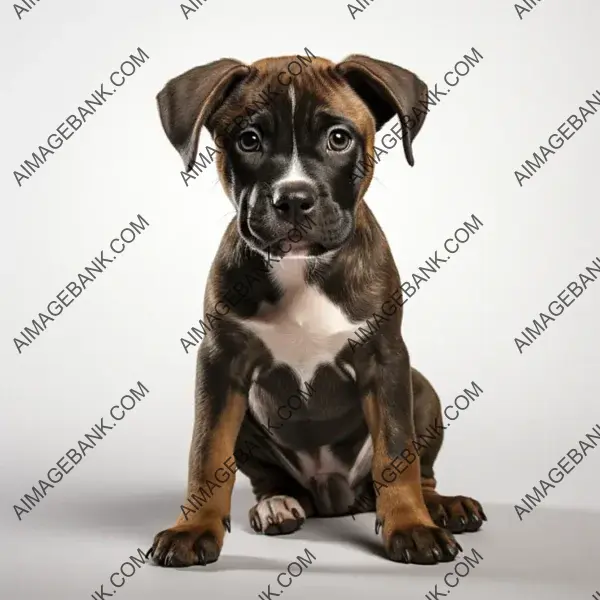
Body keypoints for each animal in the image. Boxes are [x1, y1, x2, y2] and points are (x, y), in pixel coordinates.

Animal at [149, 52, 488, 568]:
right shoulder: (220, 362)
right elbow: (207, 451)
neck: (301, 267)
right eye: (249, 140)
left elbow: (397, 452)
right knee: (268, 478)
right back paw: (277, 505)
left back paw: (441, 507)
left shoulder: (385, 360)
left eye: (339, 138)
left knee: (419, 471)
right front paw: (193, 528)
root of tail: (336, 499)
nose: (293, 198)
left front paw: (410, 525)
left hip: (421, 389)